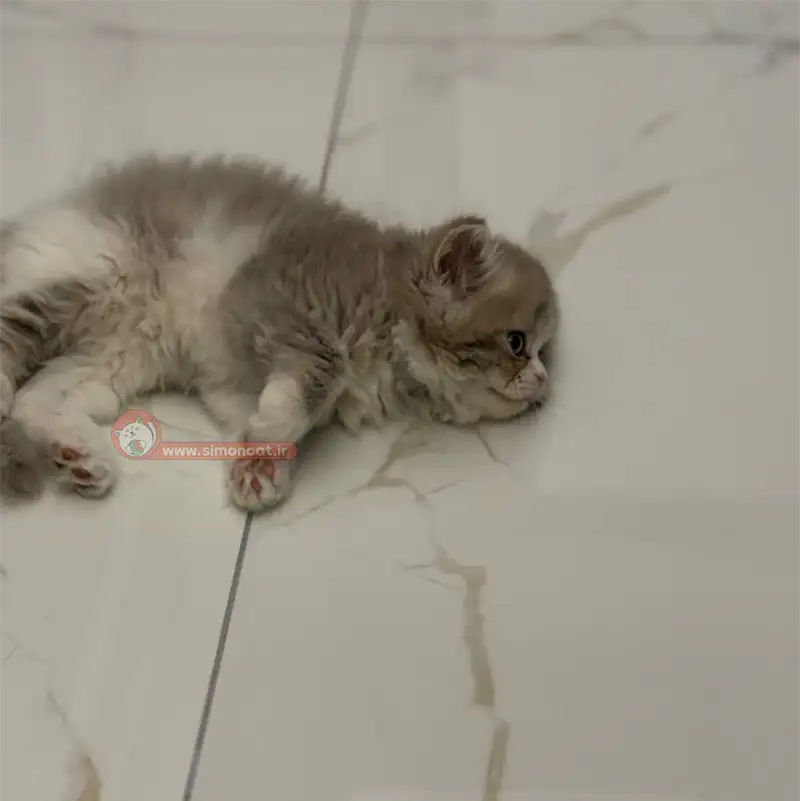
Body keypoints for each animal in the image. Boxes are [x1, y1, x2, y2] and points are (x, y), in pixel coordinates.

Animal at [0, 153, 558, 512]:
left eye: (542, 352)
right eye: (518, 344)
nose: (545, 383)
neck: (384, 298)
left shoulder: (234, 383)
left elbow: (272, 420)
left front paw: (259, 466)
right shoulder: (272, 304)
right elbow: (316, 379)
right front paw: (266, 448)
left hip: (112, 354)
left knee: (37, 396)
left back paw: (78, 456)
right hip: (88, 273)